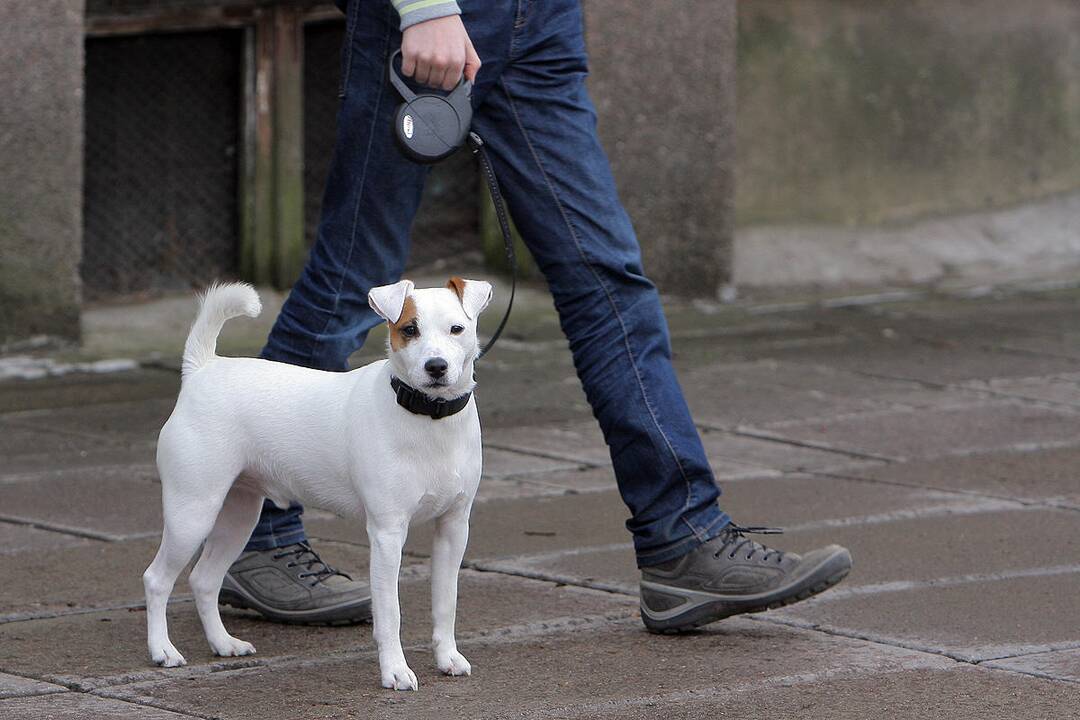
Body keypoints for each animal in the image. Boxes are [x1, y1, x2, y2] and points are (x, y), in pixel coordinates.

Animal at [143, 276, 494, 690]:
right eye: (410, 330)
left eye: (457, 329)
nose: (436, 366)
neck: (428, 417)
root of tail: (201, 370)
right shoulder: (387, 534)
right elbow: (390, 613)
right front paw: (395, 670)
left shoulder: (453, 528)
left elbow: (446, 603)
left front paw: (447, 657)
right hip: (193, 513)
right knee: (157, 579)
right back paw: (162, 650)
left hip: (237, 516)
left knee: (204, 580)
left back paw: (223, 643)